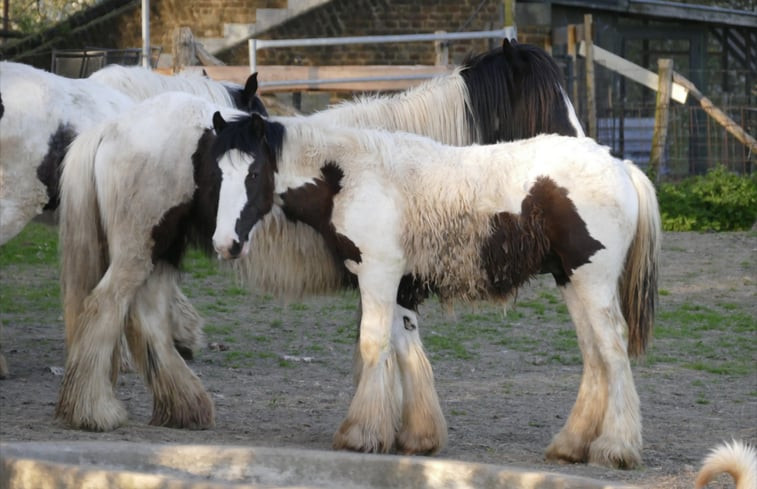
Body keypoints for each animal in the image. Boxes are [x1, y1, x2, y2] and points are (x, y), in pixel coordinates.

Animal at [210, 112, 660, 468]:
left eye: (253, 174)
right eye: (216, 174)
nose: (225, 244)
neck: (351, 177)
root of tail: (622, 166)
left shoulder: (378, 275)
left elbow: (374, 345)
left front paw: (361, 434)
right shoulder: (401, 287)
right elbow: (406, 350)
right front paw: (418, 438)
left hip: (593, 280)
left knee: (612, 349)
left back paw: (616, 448)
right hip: (571, 280)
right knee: (593, 353)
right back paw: (572, 445)